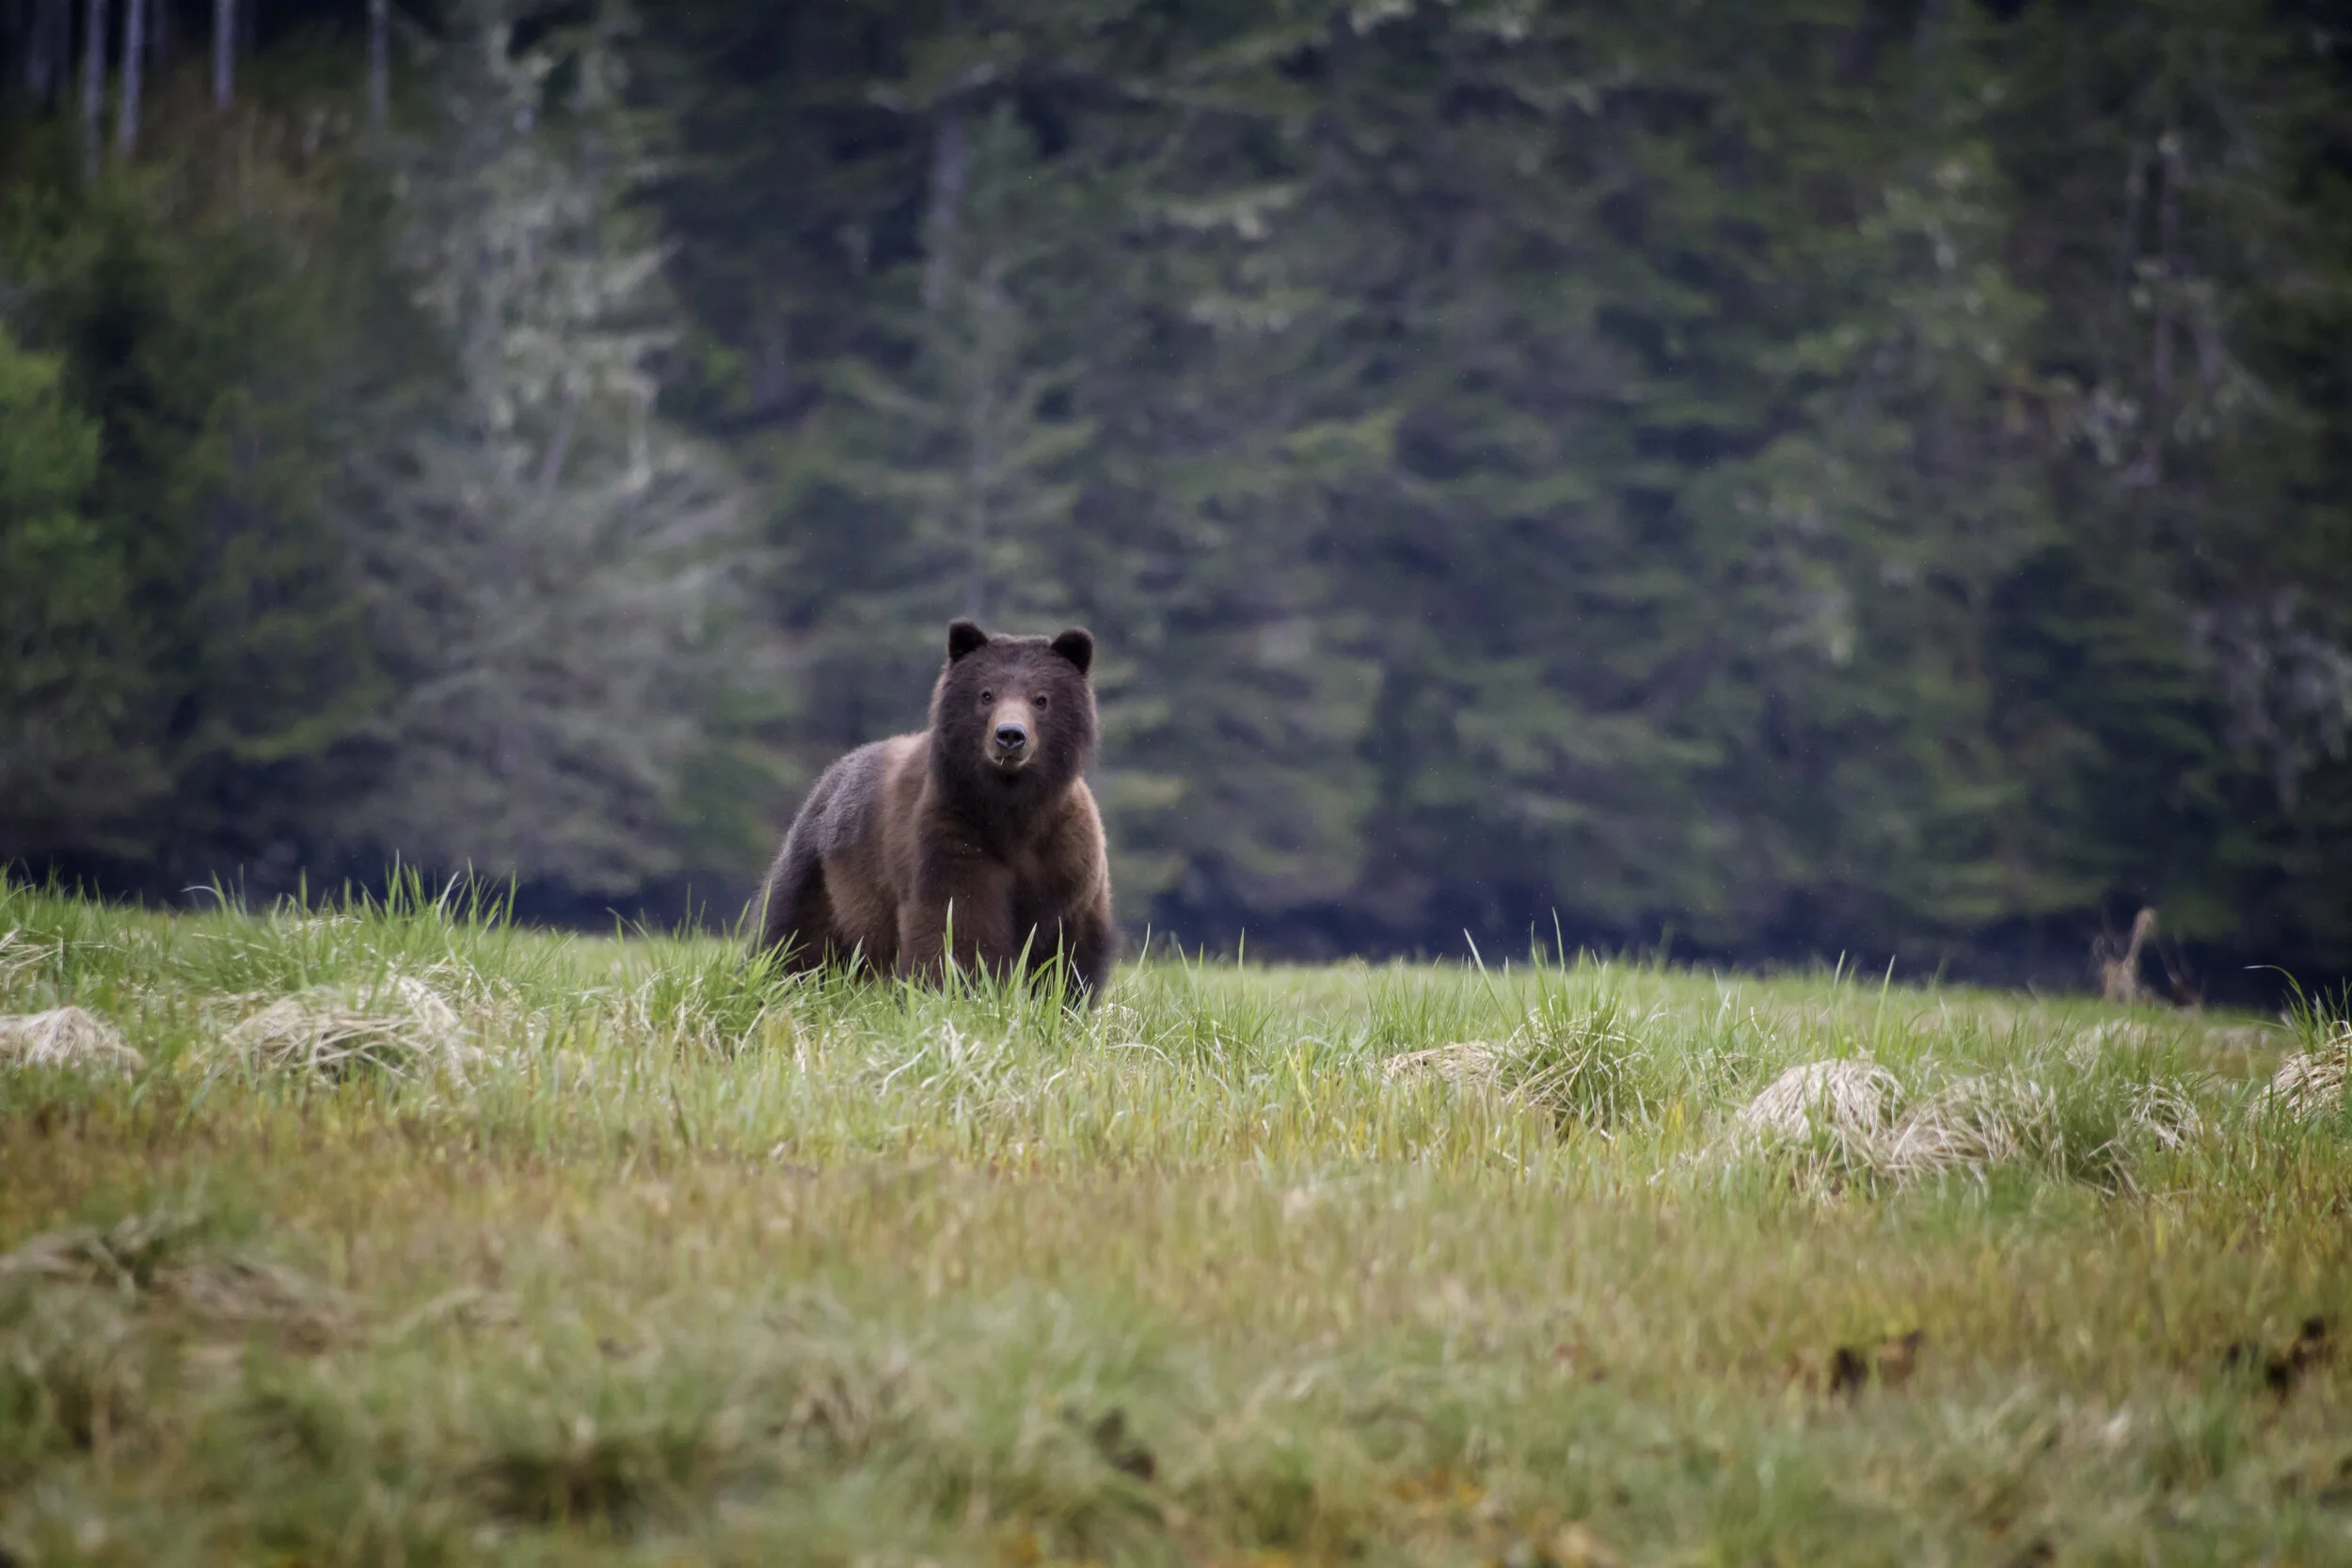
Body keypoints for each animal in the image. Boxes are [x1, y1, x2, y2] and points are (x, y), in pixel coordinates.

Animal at [752, 618, 1117, 1002]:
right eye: (986, 694)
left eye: (1041, 698)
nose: (1010, 735)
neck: (1011, 808)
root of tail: (832, 773)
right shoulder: (953, 833)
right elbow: (957, 922)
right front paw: (965, 991)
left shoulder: (1065, 857)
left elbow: (1066, 947)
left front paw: (1064, 997)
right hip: (826, 876)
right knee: (792, 938)